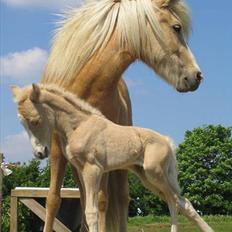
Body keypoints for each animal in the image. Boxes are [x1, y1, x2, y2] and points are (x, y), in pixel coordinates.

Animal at [11, 84, 213, 232]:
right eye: (21, 123)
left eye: (35, 121)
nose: (40, 153)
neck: (79, 126)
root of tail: (166, 141)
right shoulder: (82, 171)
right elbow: (86, 209)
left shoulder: (93, 170)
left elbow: (91, 211)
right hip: (147, 177)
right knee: (177, 202)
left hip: (154, 173)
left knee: (179, 201)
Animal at [40, 0, 203, 231]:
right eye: (176, 27)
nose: (197, 76)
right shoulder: (57, 151)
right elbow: (53, 199)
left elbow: (102, 202)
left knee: (122, 199)